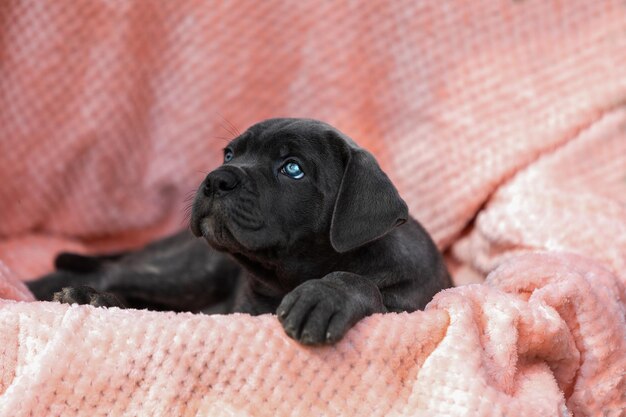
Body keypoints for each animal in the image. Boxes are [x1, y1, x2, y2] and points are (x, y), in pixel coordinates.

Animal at [28, 118, 448, 344]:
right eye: (229, 154)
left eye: (292, 168)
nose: (217, 179)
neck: (284, 280)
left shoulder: (410, 306)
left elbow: (361, 283)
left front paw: (324, 297)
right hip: (186, 272)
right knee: (114, 273)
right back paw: (72, 291)